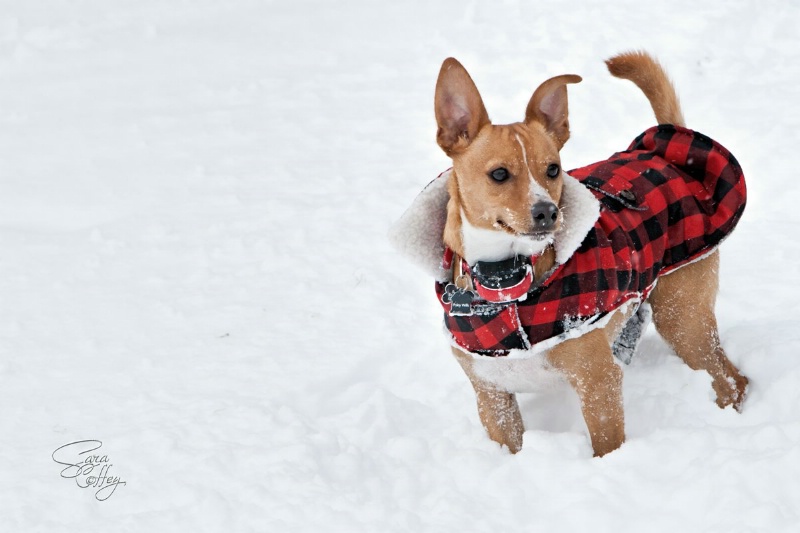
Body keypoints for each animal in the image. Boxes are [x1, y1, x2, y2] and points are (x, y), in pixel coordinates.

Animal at [390, 52, 748, 456]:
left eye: (553, 169)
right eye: (499, 174)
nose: (548, 211)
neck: (506, 281)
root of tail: (665, 154)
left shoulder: (598, 383)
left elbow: (607, 445)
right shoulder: (493, 397)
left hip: (683, 317)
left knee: (730, 377)